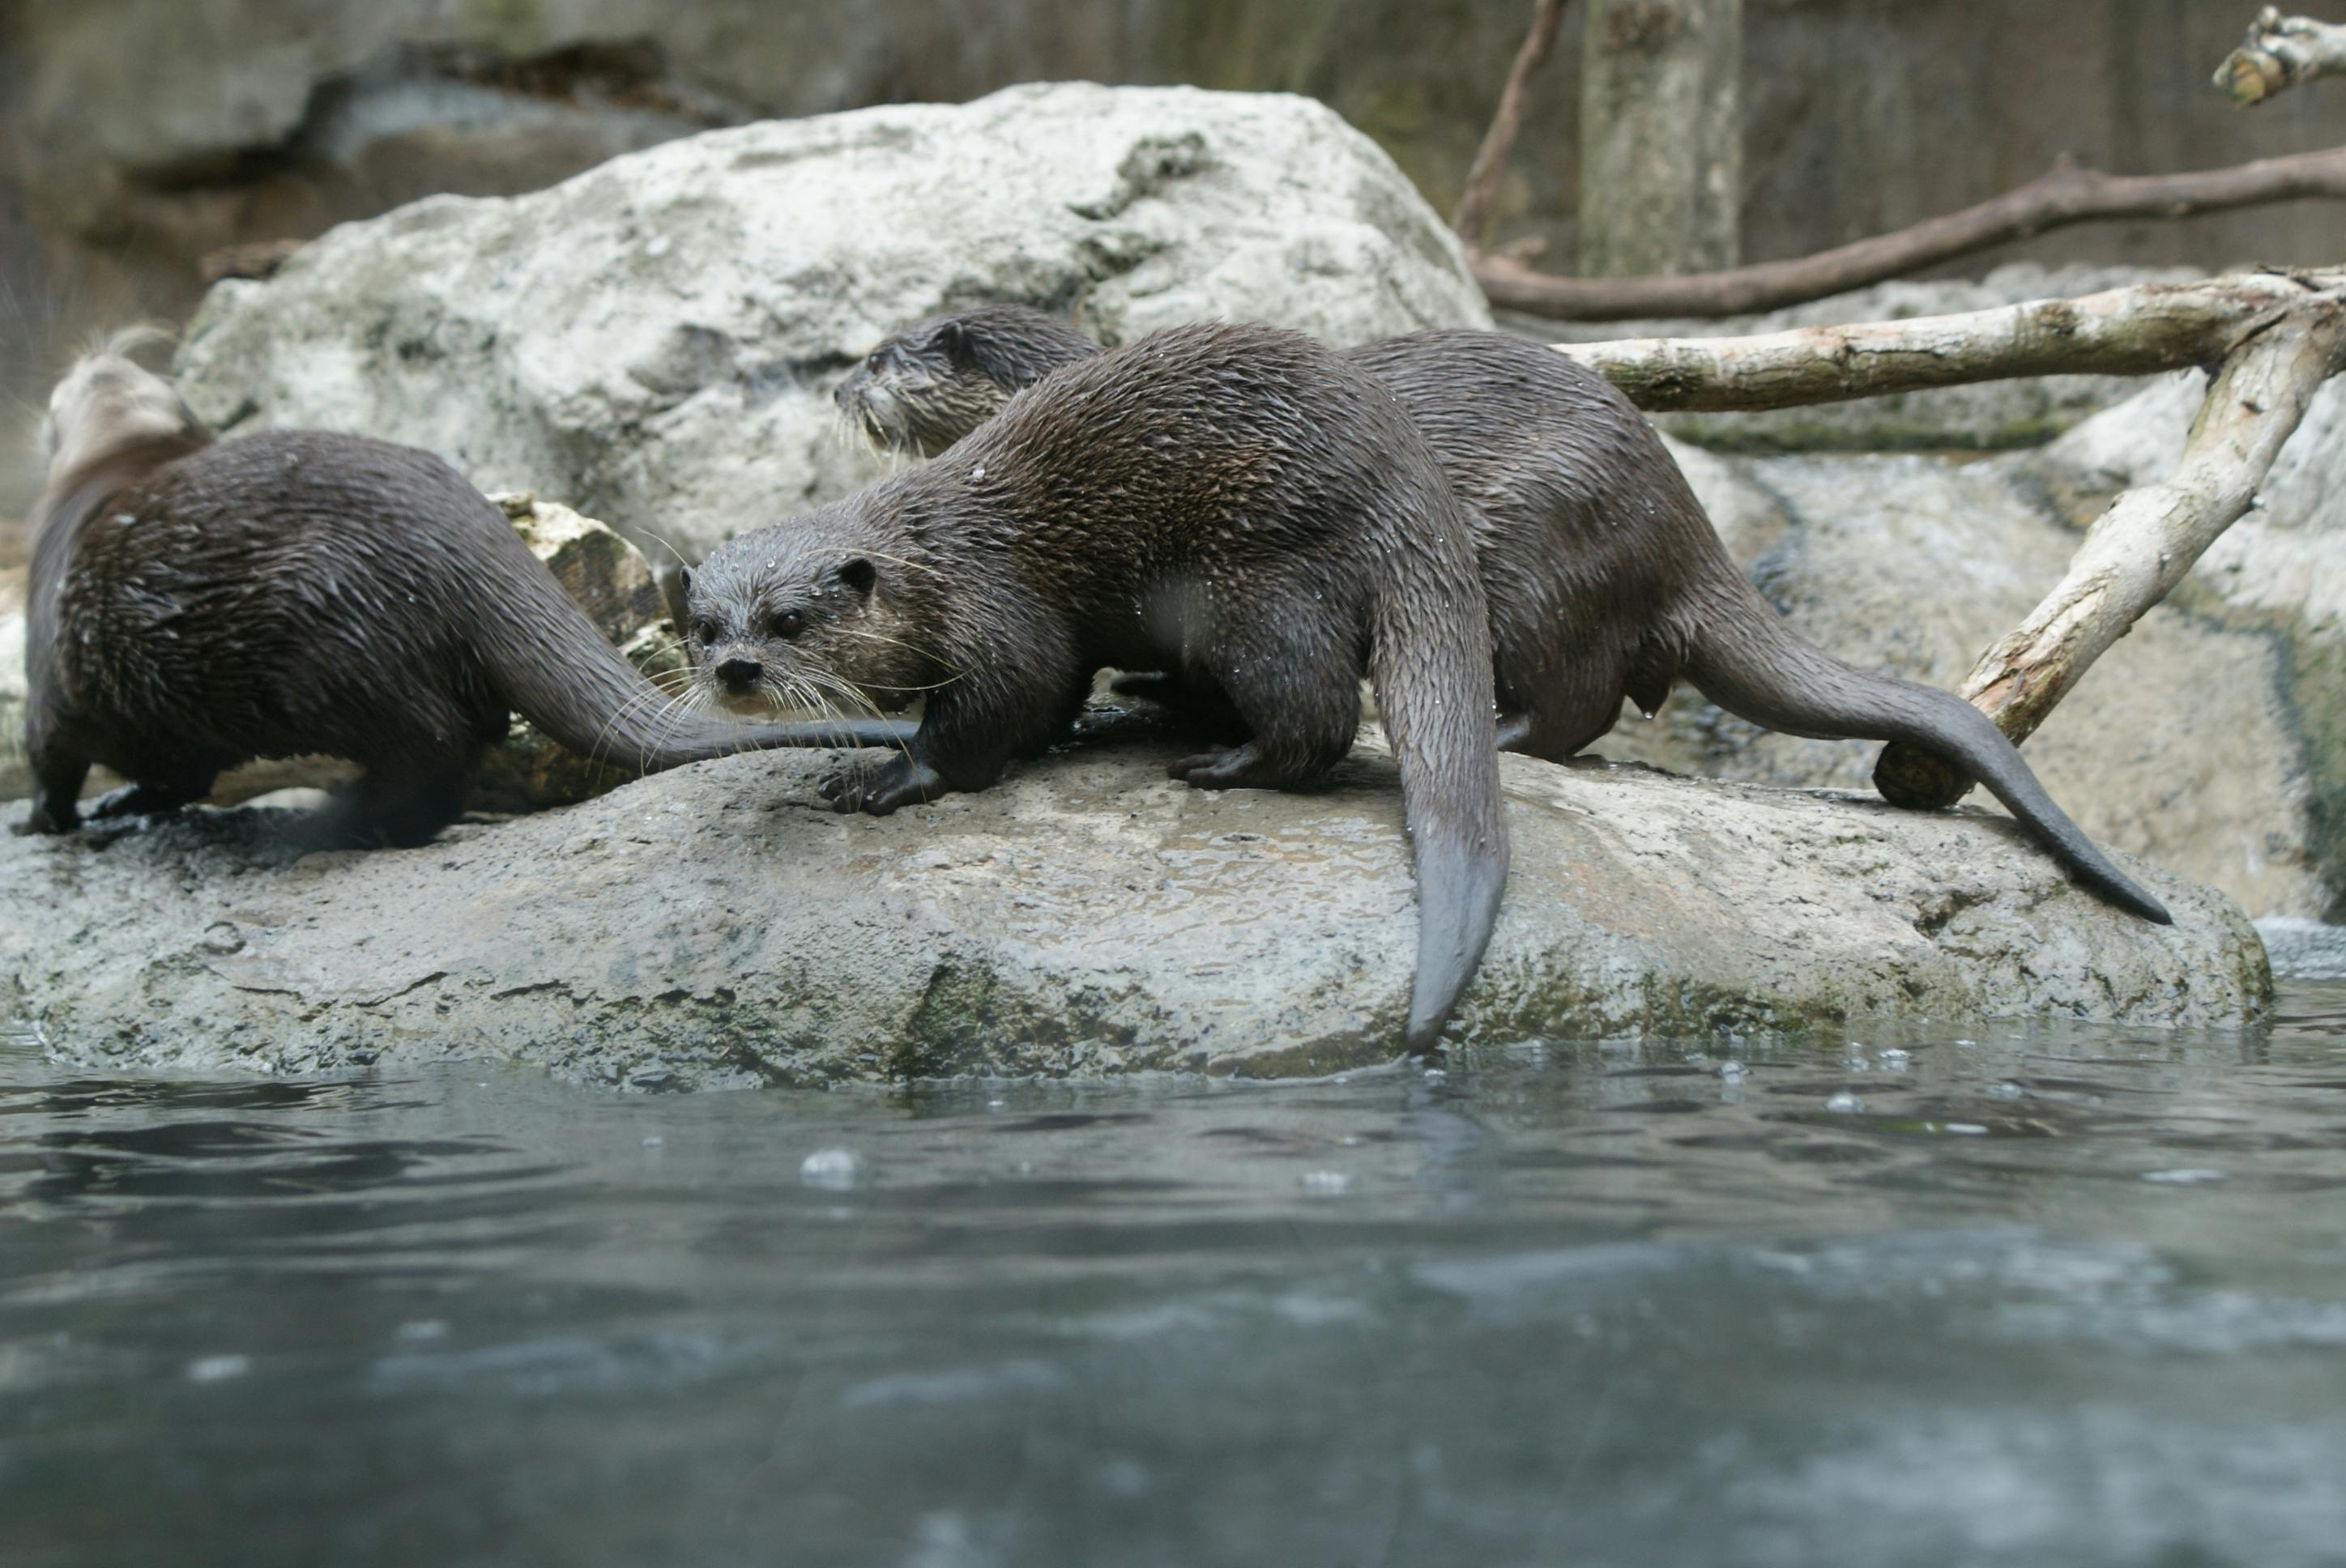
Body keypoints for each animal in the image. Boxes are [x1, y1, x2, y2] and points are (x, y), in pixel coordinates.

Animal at [20, 339, 915, 843]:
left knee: (432, 748)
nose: (87, 359)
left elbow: (51, 750)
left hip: (330, 638)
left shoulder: (48, 657)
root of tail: (467, 547)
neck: (116, 463)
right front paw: (132, 805)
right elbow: (181, 772)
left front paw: (51, 820)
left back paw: (339, 827)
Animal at [685, 318, 1511, 1050]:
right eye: (702, 628)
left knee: (1319, 713)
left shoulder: (999, 613)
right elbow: (1049, 707)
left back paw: (1219, 765)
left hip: (1255, 578)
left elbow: (996, 708)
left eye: (790, 621)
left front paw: (879, 779)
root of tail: (1408, 479)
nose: (737, 669)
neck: (932, 561)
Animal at [834, 300, 2167, 923]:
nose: (836, 379)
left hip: (1531, 548)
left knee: (1580, 699)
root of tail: (1683, 526)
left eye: (884, 356)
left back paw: (1503, 735)